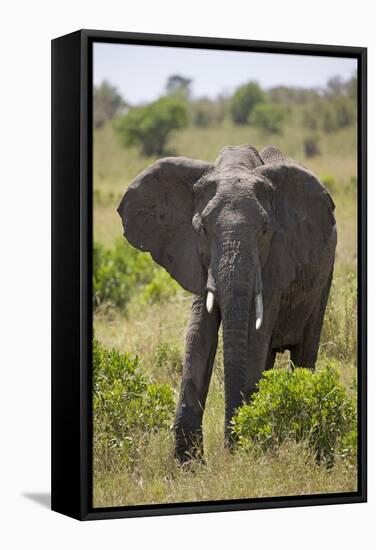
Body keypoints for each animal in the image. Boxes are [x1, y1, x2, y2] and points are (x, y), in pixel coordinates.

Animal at [117, 144, 338, 464]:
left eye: (265, 230)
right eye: (202, 229)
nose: (230, 448)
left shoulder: (276, 260)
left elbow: (255, 335)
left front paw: (246, 450)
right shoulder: (195, 258)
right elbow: (199, 333)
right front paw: (187, 465)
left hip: (325, 276)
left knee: (304, 353)